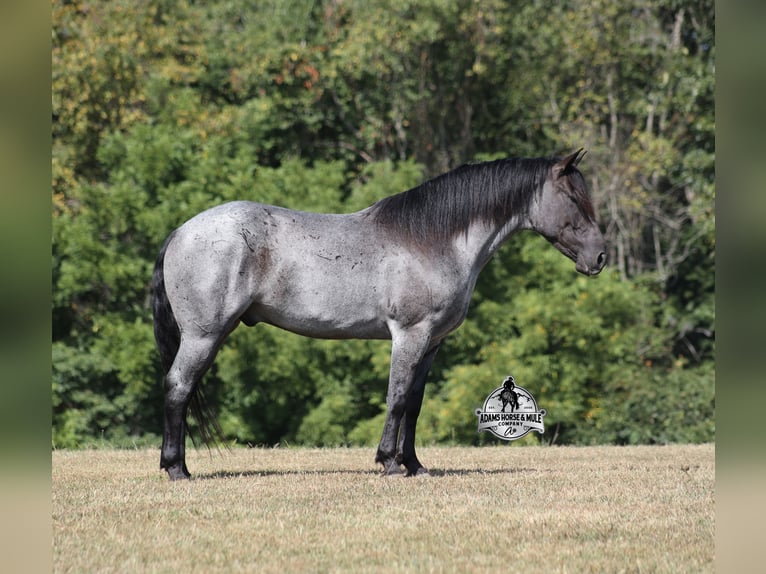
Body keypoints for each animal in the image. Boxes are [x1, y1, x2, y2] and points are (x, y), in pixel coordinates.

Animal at [152, 149, 606, 480]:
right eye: (573, 199)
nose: (599, 257)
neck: (433, 240)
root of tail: (180, 232)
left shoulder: (432, 343)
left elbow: (415, 403)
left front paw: (415, 465)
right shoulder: (410, 334)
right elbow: (397, 397)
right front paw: (388, 462)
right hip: (204, 335)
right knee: (177, 388)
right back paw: (177, 469)